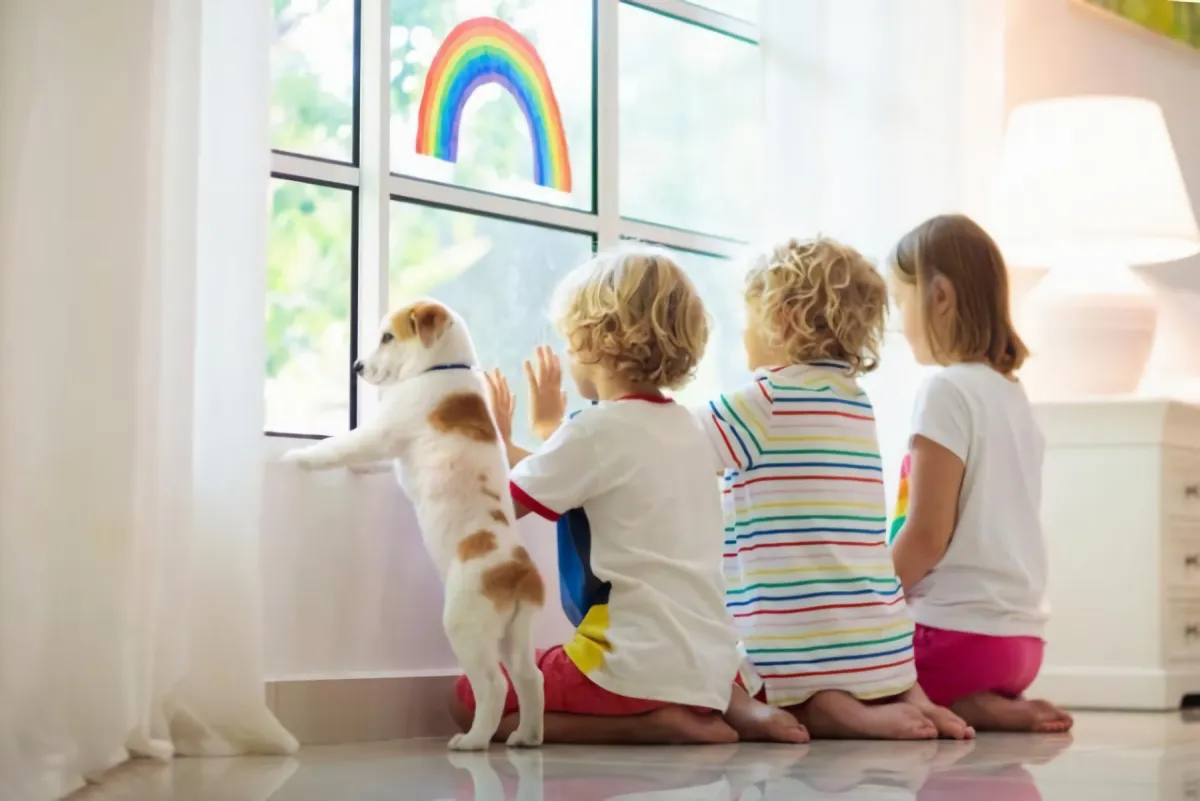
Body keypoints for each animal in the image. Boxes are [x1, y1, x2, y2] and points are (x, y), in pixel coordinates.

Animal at [283, 299, 547, 753]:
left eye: (388, 337)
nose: (356, 366)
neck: (441, 367)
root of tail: (518, 571)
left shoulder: (382, 432)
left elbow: (341, 447)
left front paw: (299, 457)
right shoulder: (389, 447)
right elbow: (370, 461)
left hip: (466, 627)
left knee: (494, 686)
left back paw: (473, 740)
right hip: (517, 633)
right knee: (531, 677)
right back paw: (526, 737)